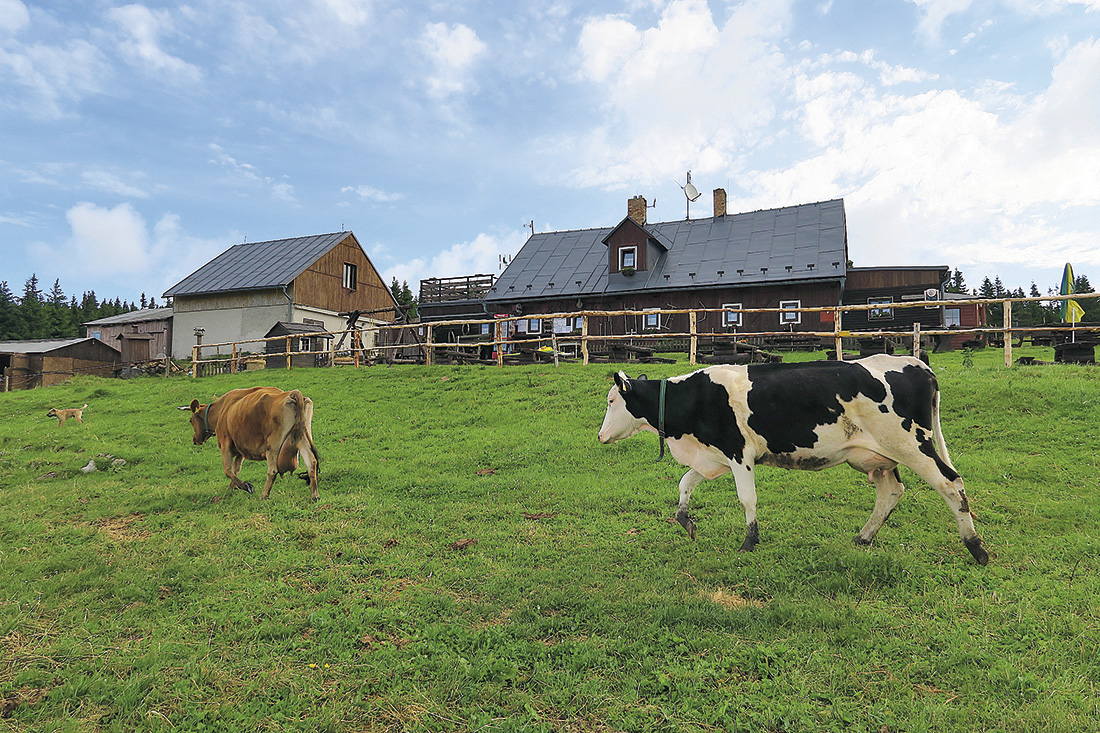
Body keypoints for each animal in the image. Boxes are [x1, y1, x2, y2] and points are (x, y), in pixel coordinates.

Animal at [182, 385, 321, 499]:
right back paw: (314, 495)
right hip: (302, 437)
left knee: (272, 470)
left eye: (190, 420)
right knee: (311, 462)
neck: (222, 410)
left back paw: (264, 495)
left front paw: (245, 486)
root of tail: (291, 394)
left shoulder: (225, 444)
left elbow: (228, 470)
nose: (194, 440)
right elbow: (236, 469)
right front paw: (232, 488)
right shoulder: (240, 450)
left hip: (273, 446)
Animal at [598, 352, 994, 561]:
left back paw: (976, 548)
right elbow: (684, 484)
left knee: (951, 483)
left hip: (913, 444)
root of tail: (917, 363)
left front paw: (749, 541)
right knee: (891, 492)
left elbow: (747, 498)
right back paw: (863, 538)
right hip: (877, 456)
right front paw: (687, 521)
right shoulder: (714, 456)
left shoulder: (739, 453)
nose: (600, 435)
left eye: (611, 400)